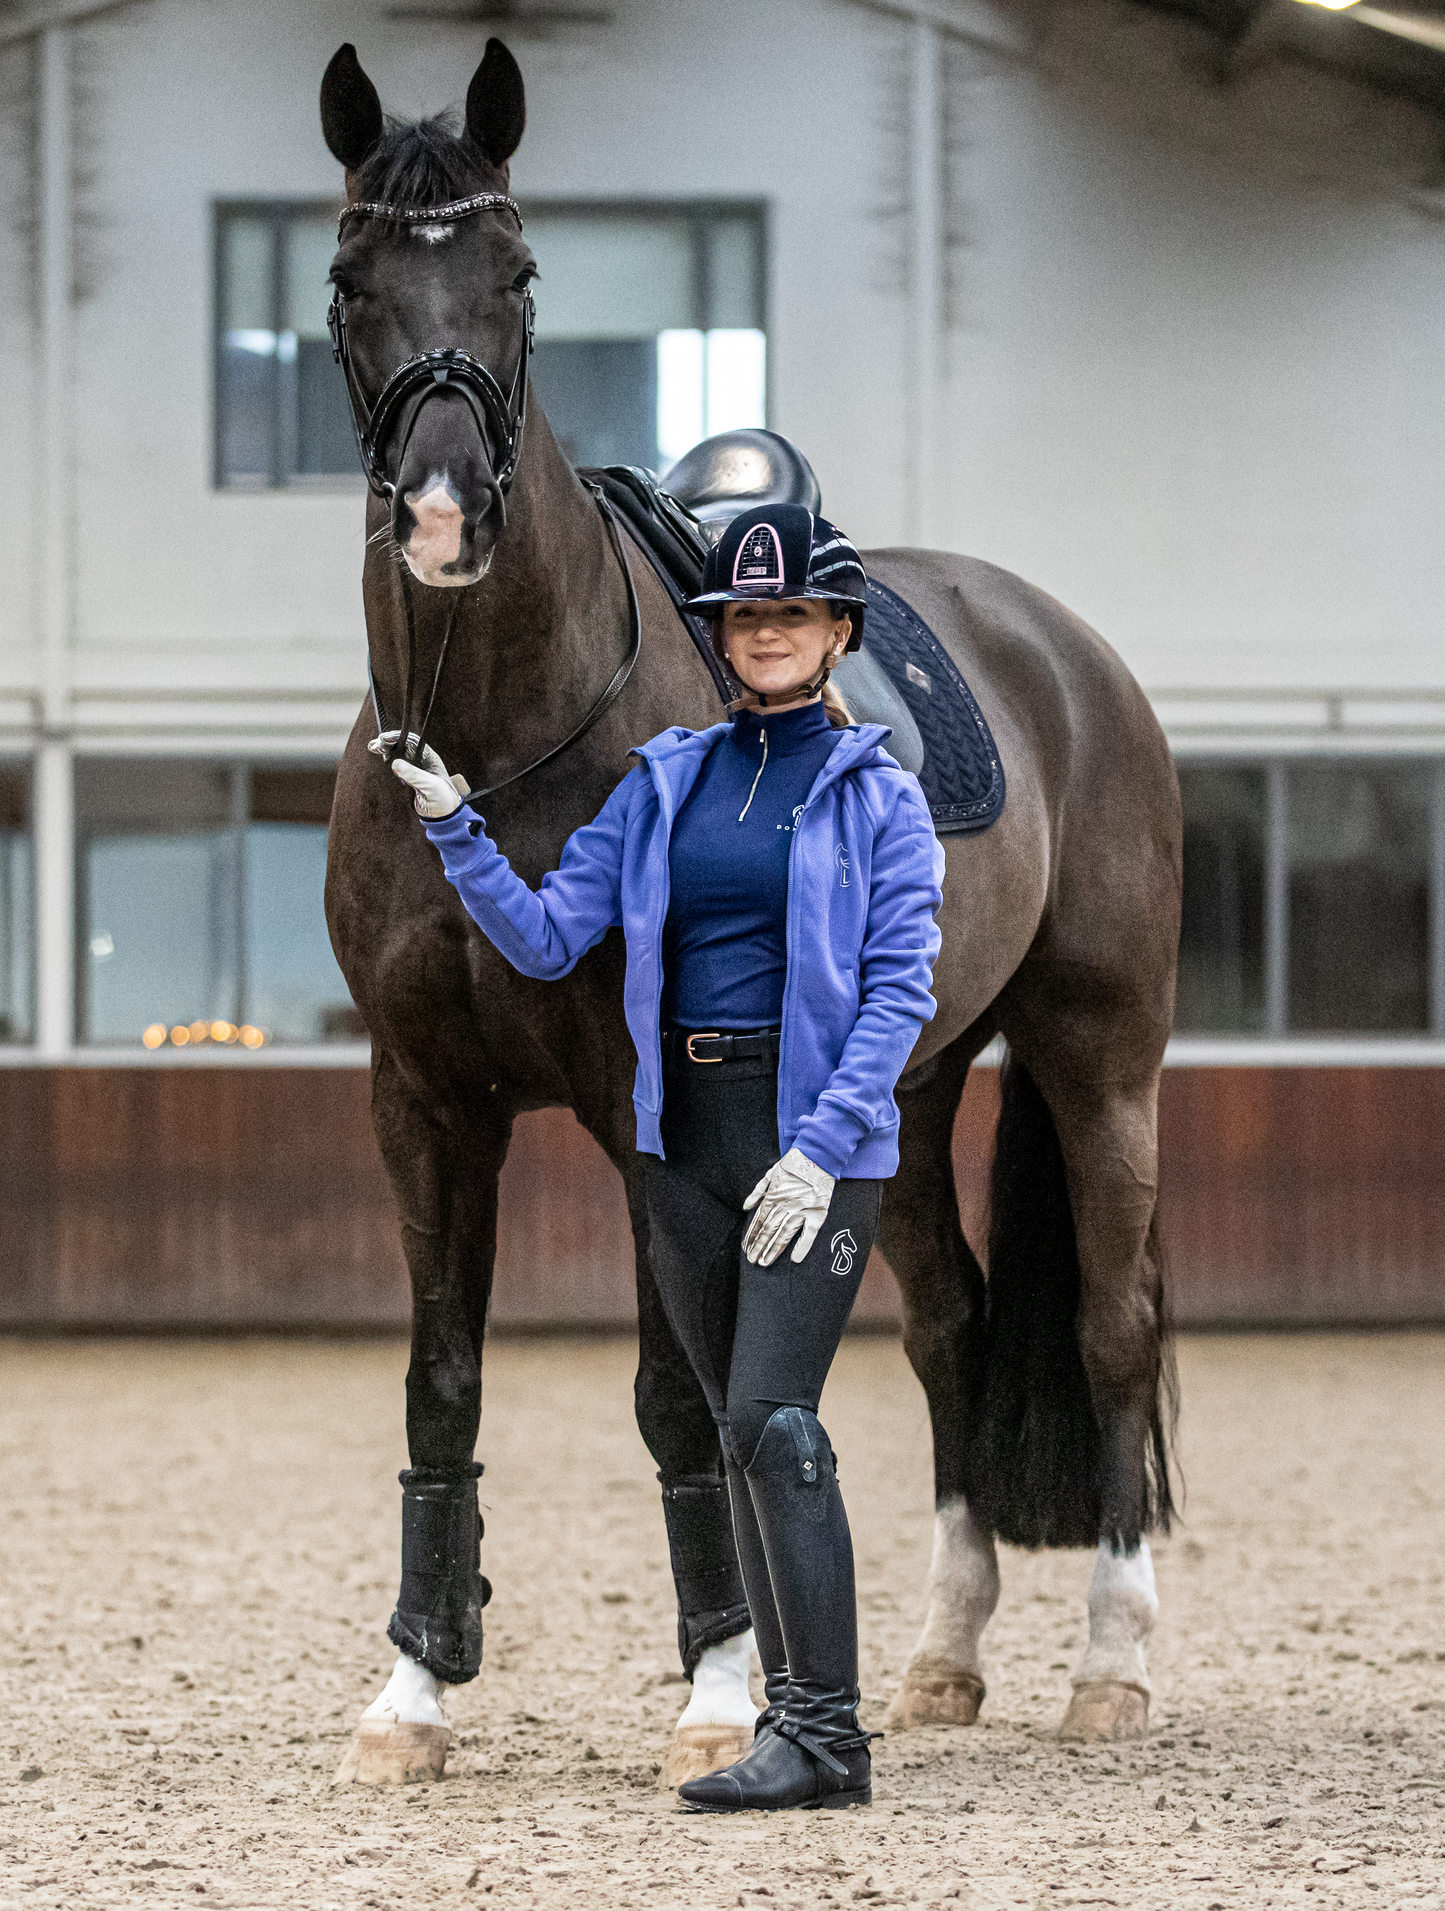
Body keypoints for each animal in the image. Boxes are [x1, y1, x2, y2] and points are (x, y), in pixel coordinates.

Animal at [321, 37, 1177, 1781]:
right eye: (345, 280)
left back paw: (1112, 1662)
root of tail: (1065, 648)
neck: (499, 734)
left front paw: (719, 1690)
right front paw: (415, 1688)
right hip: (905, 1083)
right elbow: (441, 1381)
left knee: (1113, 1323)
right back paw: (941, 1656)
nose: (441, 516)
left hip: (1101, 1051)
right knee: (950, 1325)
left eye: (519, 276)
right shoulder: (421, 1097)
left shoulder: (633, 1096)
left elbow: (678, 1391)